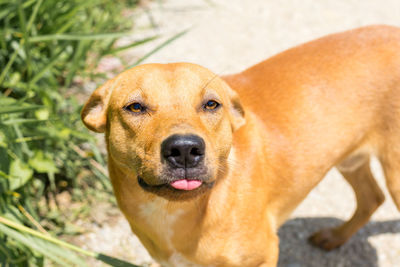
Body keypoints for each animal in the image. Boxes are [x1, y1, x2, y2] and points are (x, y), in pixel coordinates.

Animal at [81, 25, 400, 267]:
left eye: (211, 104)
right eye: (135, 107)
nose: (184, 149)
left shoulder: (263, 256)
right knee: (371, 198)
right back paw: (336, 236)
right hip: (350, 159)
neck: (175, 213)